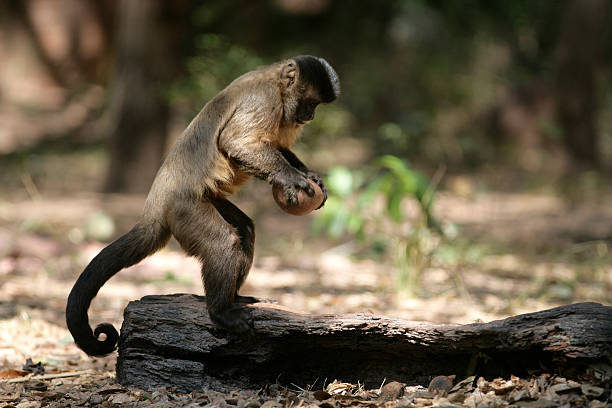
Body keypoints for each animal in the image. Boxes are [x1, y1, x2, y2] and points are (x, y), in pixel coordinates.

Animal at [69, 55, 342, 356]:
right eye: (310, 102)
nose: (311, 116)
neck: (277, 82)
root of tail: (155, 204)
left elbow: (275, 147)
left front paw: (310, 175)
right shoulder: (266, 98)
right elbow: (236, 142)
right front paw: (290, 177)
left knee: (244, 229)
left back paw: (237, 297)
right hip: (182, 209)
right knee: (222, 241)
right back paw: (221, 312)